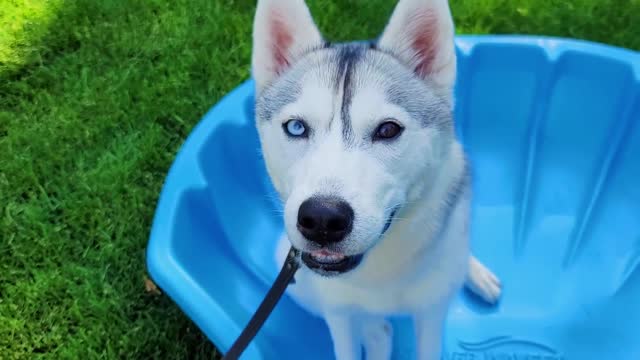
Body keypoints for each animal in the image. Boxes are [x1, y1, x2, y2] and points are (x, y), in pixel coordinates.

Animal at [251, 0, 504, 358]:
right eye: (296, 127)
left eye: (388, 129)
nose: (322, 219)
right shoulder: (337, 310)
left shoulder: (432, 311)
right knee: (379, 328)